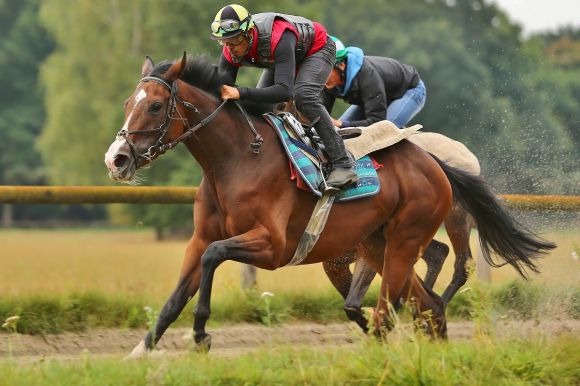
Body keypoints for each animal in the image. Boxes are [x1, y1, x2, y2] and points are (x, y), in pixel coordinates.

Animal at [105, 54, 556, 356]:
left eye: (156, 105)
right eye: (128, 103)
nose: (117, 159)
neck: (236, 159)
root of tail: (434, 162)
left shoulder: (272, 246)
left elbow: (215, 257)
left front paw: (201, 334)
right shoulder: (198, 239)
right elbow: (177, 295)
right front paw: (141, 352)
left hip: (405, 240)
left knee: (398, 305)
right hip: (378, 244)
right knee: (427, 307)